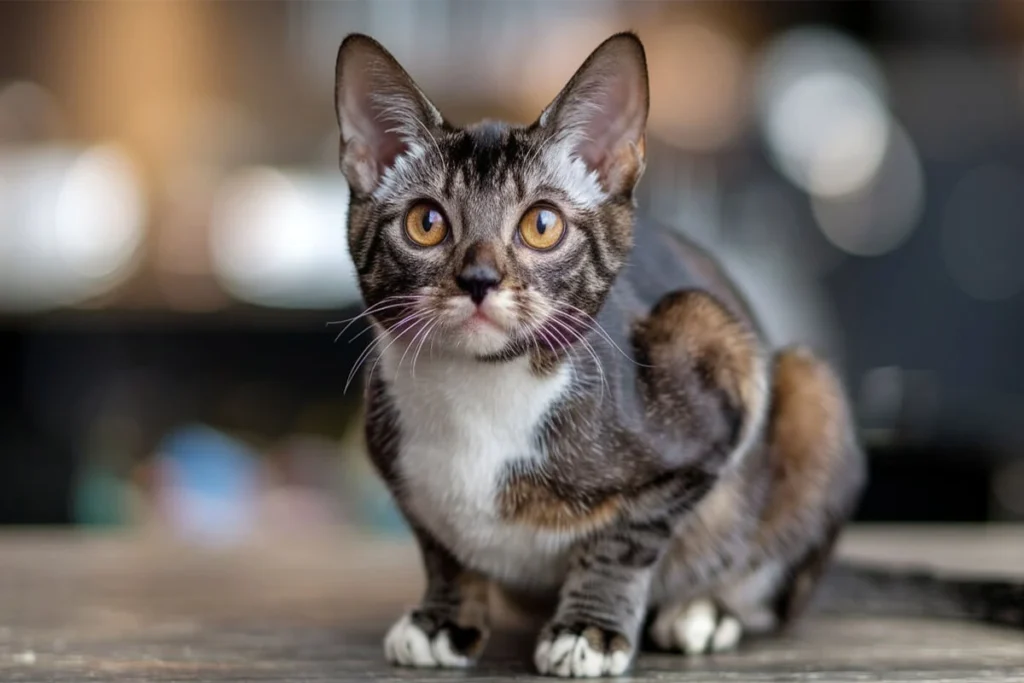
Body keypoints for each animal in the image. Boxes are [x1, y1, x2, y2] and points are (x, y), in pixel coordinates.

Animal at [333, 29, 1024, 675]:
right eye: (426, 223)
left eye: (541, 225)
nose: (479, 279)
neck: (480, 392)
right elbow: (441, 547)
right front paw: (443, 619)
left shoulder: (709, 360)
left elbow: (627, 537)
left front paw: (589, 631)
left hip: (806, 388)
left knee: (774, 592)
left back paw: (705, 612)